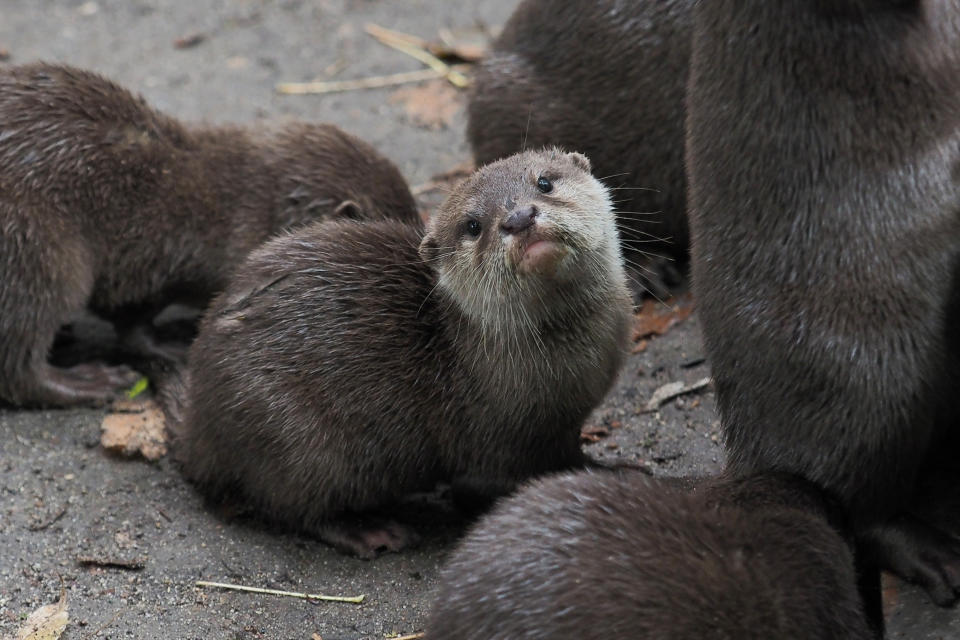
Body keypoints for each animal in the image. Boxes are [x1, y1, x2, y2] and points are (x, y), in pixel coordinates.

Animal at [0, 62, 420, 408]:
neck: (240, 206)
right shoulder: (153, 260)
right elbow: (131, 321)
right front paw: (173, 345)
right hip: (37, 249)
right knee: (19, 365)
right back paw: (91, 382)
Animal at [175, 148, 632, 556]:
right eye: (473, 225)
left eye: (544, 182)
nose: (519, 218)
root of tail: (199, 425)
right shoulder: (498, 441)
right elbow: (501, 480)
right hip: (294, 437)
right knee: (293, 505)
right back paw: (369, 530)